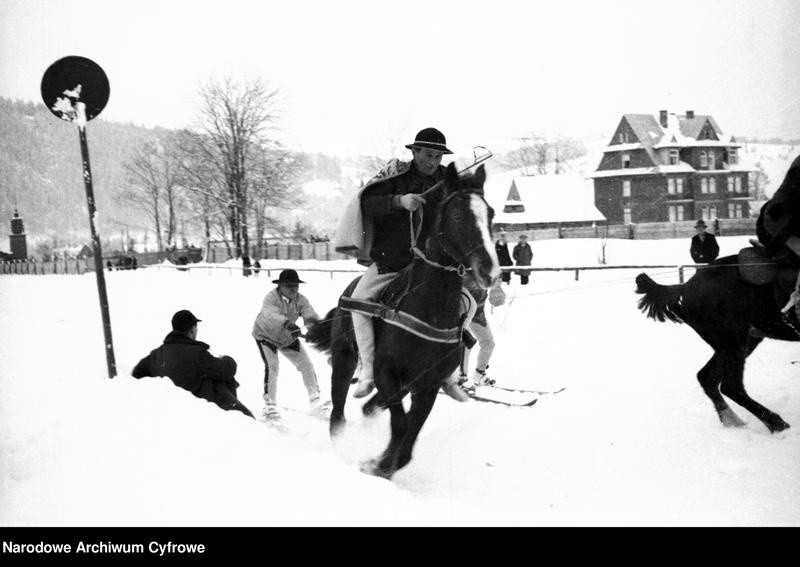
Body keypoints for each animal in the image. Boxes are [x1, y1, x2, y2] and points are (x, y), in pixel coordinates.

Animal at [304, 164, 496, 480]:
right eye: (457, 215)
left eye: (490, 213)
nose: (490, 271)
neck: (428, 308)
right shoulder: (386, 373)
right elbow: (402, 424)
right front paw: (376, 464)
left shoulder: (427, 385)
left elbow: (409, 436)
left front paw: (383, 464)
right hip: (345, 359)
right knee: (338, 412)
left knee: (370, 409)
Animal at [636, 258, 796, 434]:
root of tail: (685, 288)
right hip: (733, 342)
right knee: (730, 387)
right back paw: (776, 424)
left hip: (737, 343)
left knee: (707, 377)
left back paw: (733, 421)